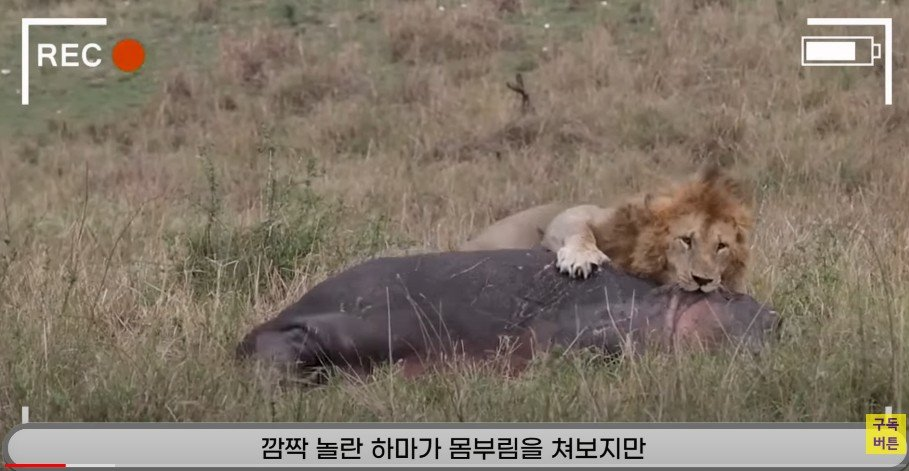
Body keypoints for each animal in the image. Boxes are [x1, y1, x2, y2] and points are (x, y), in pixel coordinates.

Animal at [462, 164, 752, 294]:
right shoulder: (575, 214)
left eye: (721, 246)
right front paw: (580, 259)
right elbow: (580, 231)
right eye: (686, 240)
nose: (703, 281)